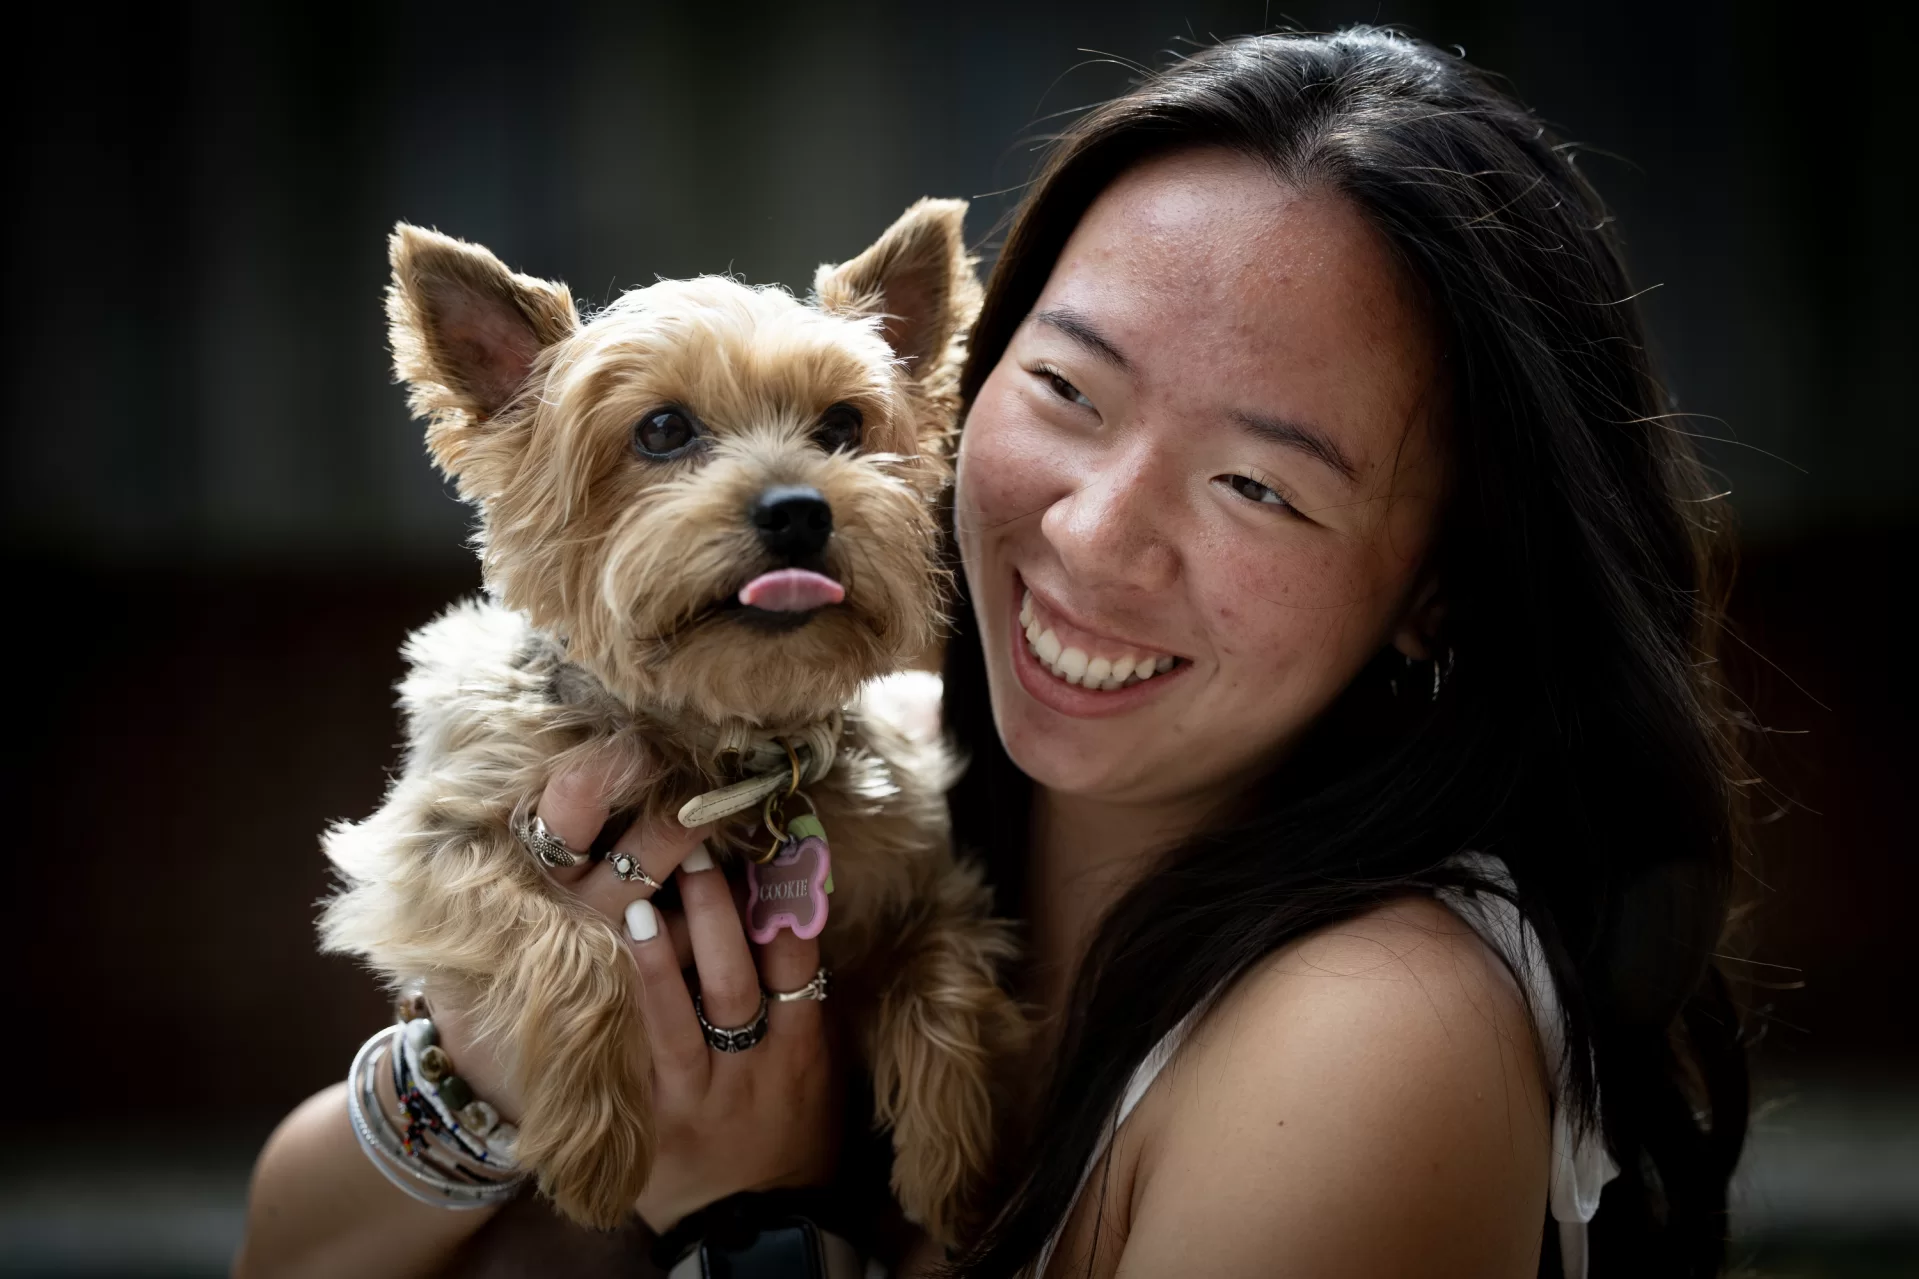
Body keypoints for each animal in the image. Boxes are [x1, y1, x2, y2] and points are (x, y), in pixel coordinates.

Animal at [322, 201, 1028, 1236]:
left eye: (842, 424)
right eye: (661, 429)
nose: (799, 510)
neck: (714, 738)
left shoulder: (914, 872)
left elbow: (946, 969)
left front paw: (953, 1167)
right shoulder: (426, 851)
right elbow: (575, 943)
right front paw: (596, 1148)